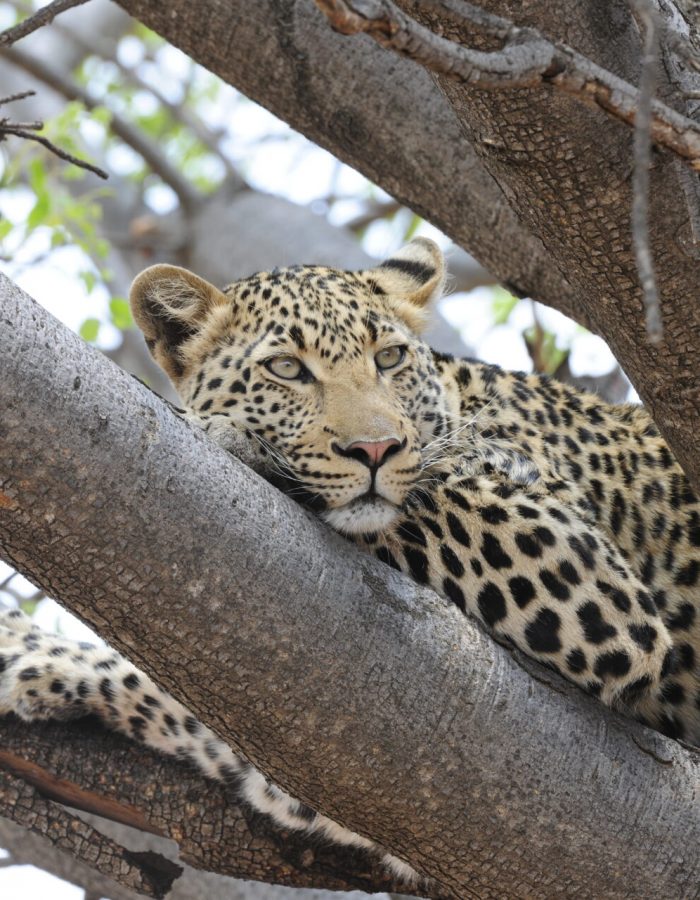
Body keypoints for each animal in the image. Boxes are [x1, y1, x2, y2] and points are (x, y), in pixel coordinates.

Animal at [0, 234, 696, 884]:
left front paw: (235, 440)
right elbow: (177, 705)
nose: (376, 449)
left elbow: (427, 494)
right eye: (286, 368)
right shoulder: (317, 783)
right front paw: (30, 653)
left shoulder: (587, 571)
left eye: (388, 358)